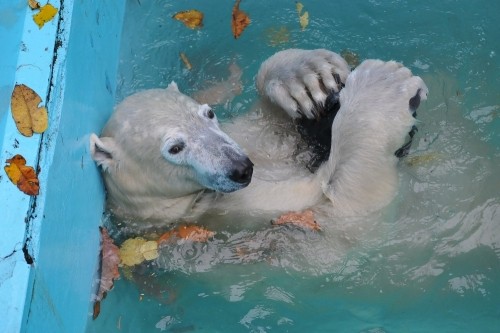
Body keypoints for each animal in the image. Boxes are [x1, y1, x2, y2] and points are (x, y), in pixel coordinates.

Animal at [89, 48, 426, 226]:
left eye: (209, 114)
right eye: (175, 148)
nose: (241, 167)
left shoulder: (247, 138)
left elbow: (273, 126)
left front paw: (305, 75)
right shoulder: (234, 208)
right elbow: (347, 204)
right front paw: (383, 88)